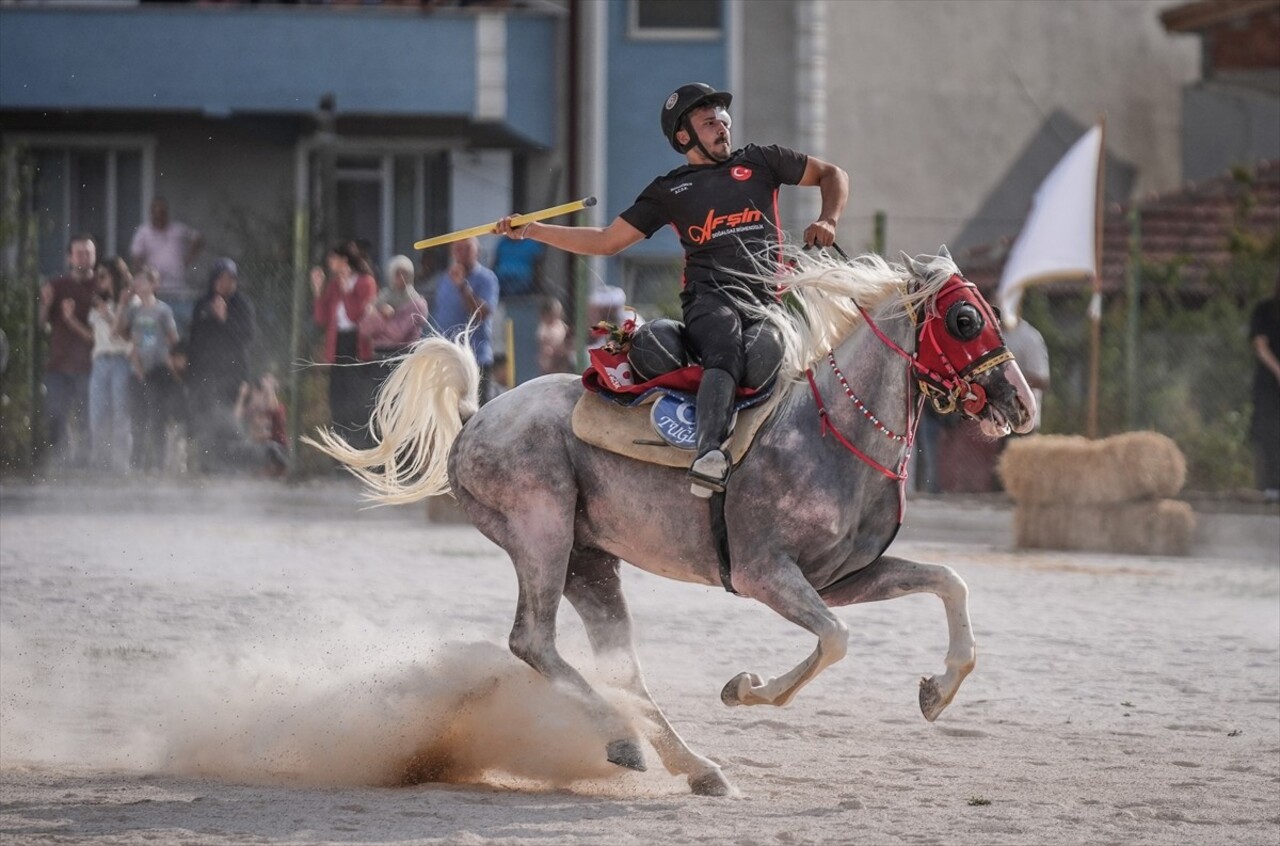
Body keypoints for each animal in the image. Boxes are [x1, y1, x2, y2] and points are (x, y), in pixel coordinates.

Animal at [309, 247, 1039, 793]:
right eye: (967, 318)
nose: (1022, 404)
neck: (828, 431)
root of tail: (474, 418)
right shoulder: (765, 574)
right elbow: (835, 640)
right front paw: (745, 689)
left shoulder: (844, 578)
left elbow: (947, 582)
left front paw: (937, 692)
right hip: (542, 535)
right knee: (533, 643)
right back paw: (626, 740)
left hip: (589, 562)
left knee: (618, 665)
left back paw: (691, 764)